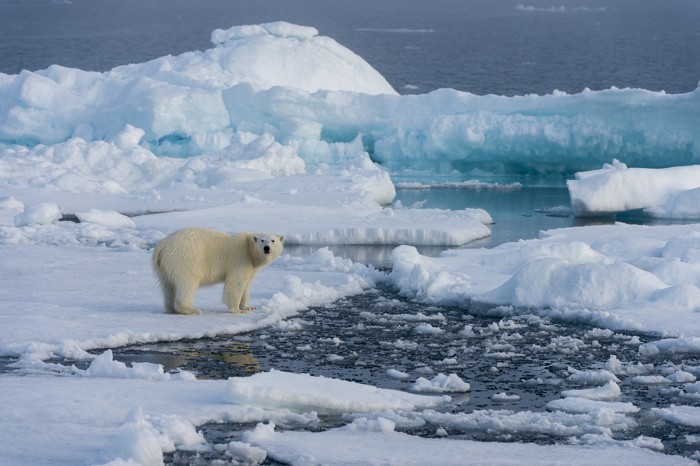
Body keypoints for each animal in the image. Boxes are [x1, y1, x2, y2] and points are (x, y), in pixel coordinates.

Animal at [152, 228, 284, 314]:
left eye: (273, 241)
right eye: (262, 240)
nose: (267, 248)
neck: (249, 248)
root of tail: (161, 247)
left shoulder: (251, 267)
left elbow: (246, 285)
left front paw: (249, 307)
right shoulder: (240, 258)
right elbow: (236, 282)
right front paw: (238, 310)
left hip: (163, 267)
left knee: (168, 286)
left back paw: (170, 308)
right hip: (185, 258)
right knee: (187, 282)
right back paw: (191, 310)